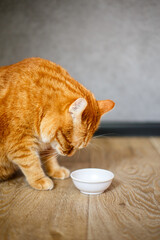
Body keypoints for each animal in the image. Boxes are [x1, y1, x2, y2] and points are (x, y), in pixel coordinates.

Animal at [0, 57, 115, 189]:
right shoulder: (19, 144)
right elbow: (31, 162)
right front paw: (40, 179)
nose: (69, 155)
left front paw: (55, 170)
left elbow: (50, 157)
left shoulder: (48, 144)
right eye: (70, 144)